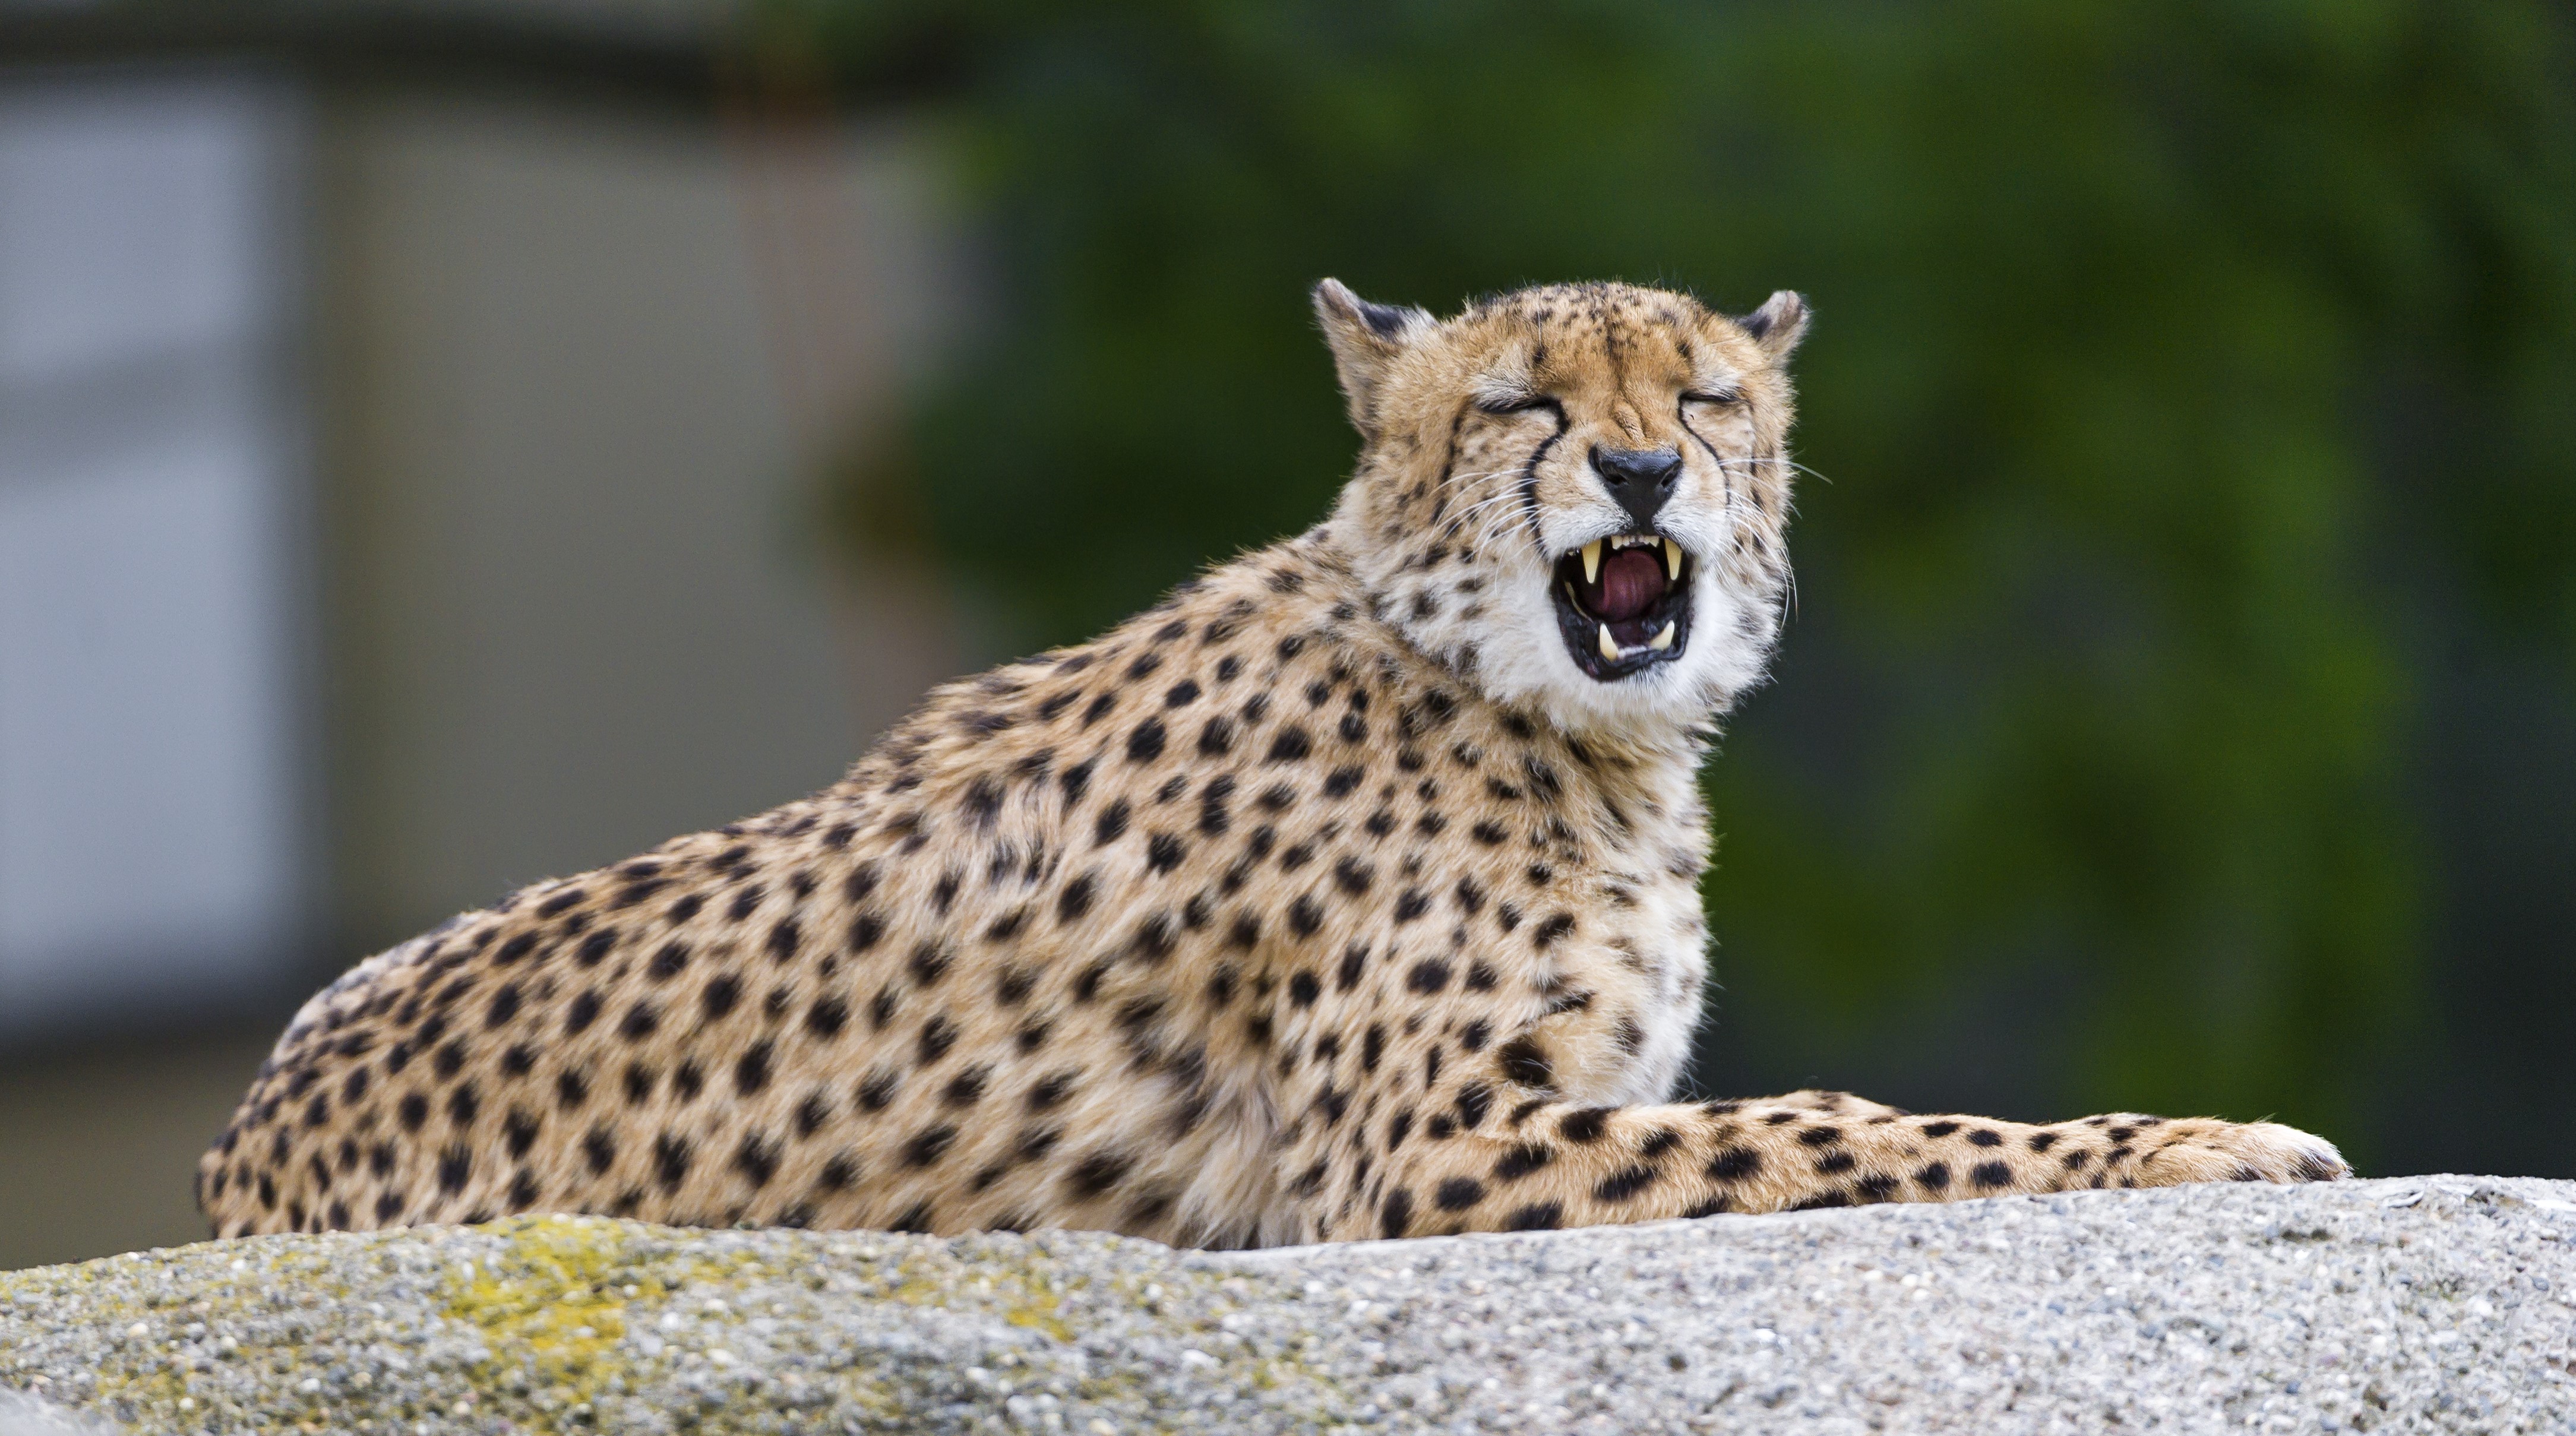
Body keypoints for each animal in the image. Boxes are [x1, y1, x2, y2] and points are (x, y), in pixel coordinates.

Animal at [198, 278, 2347, 1249]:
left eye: (1705, 395)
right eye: (1526, 403)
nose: (1640, 472)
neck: (1544, 714)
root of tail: (236, 1149)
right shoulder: (1420, 1155)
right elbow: (1843, 1122)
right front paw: (2201, 1139)